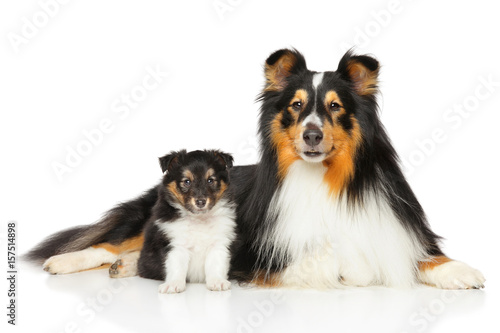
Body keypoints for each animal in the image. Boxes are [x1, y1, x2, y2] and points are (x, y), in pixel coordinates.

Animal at [26, 48, 484, 288]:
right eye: (296, 105)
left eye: (335, 107)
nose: (312, 135)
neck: (325, 180)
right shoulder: (259, 253)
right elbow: (337, 265)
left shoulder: (393, 226)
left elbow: (421, 253)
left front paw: (460, 269)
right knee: (110, 242)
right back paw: (70, 262)